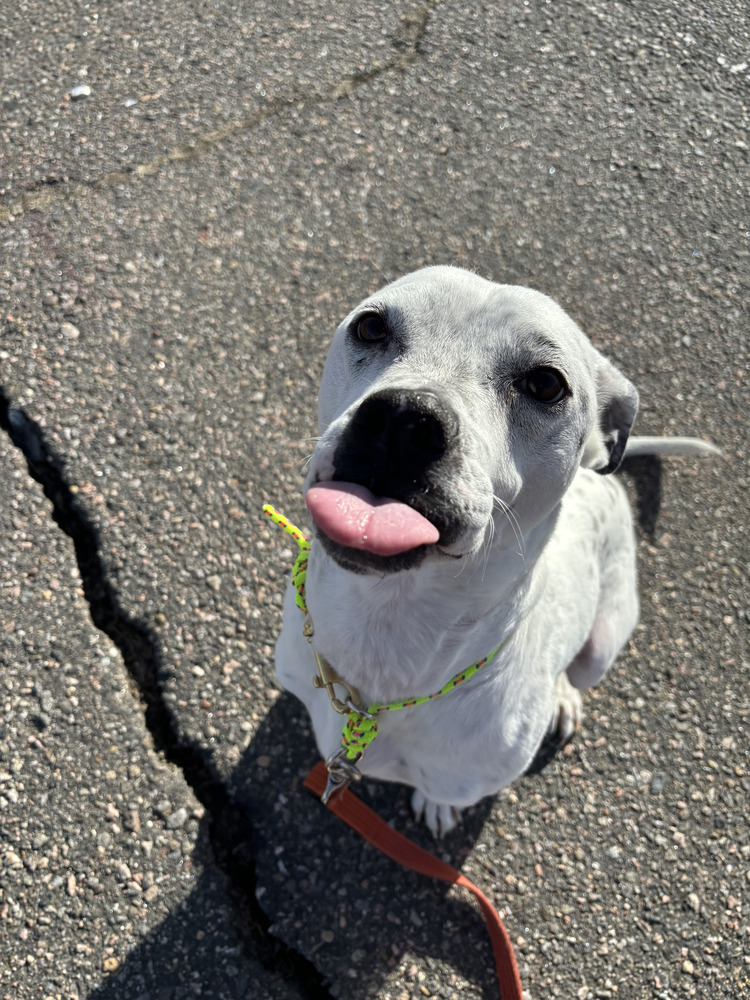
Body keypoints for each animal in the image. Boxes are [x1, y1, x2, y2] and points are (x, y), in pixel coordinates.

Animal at [274, 266, 720, 836]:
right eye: (370, 327)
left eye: (545, 383)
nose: (404, 417)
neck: (388, 625)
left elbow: (439, 792)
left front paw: (435, 807)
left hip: (602, 644)